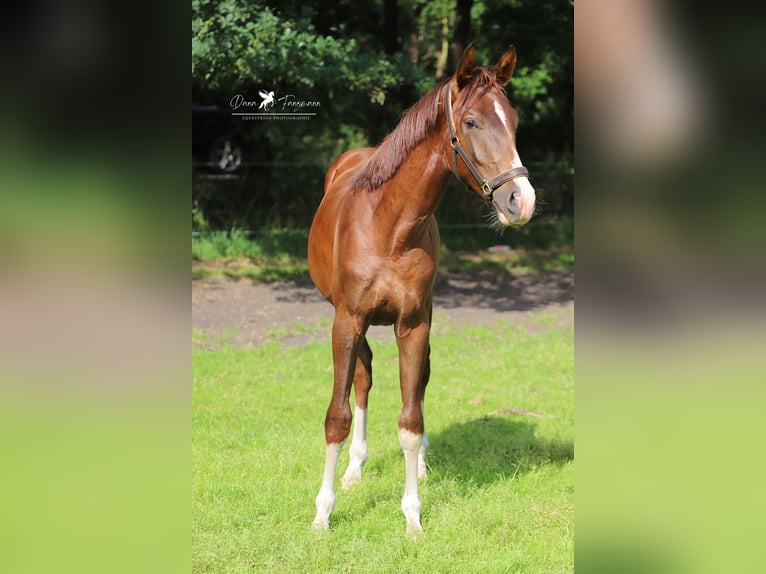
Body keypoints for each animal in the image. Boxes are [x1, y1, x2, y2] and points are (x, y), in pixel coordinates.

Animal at [308, 44, 536, 536]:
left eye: (513, 119)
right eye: (471, 122)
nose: (521, 201)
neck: (389, 226)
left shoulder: (413, 323)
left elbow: (411, 420)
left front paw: (412, 516)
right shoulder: (346, 321)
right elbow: (337, 416)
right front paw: (322, 513)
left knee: (418, 383)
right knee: (364, 378)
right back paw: (354, 469)